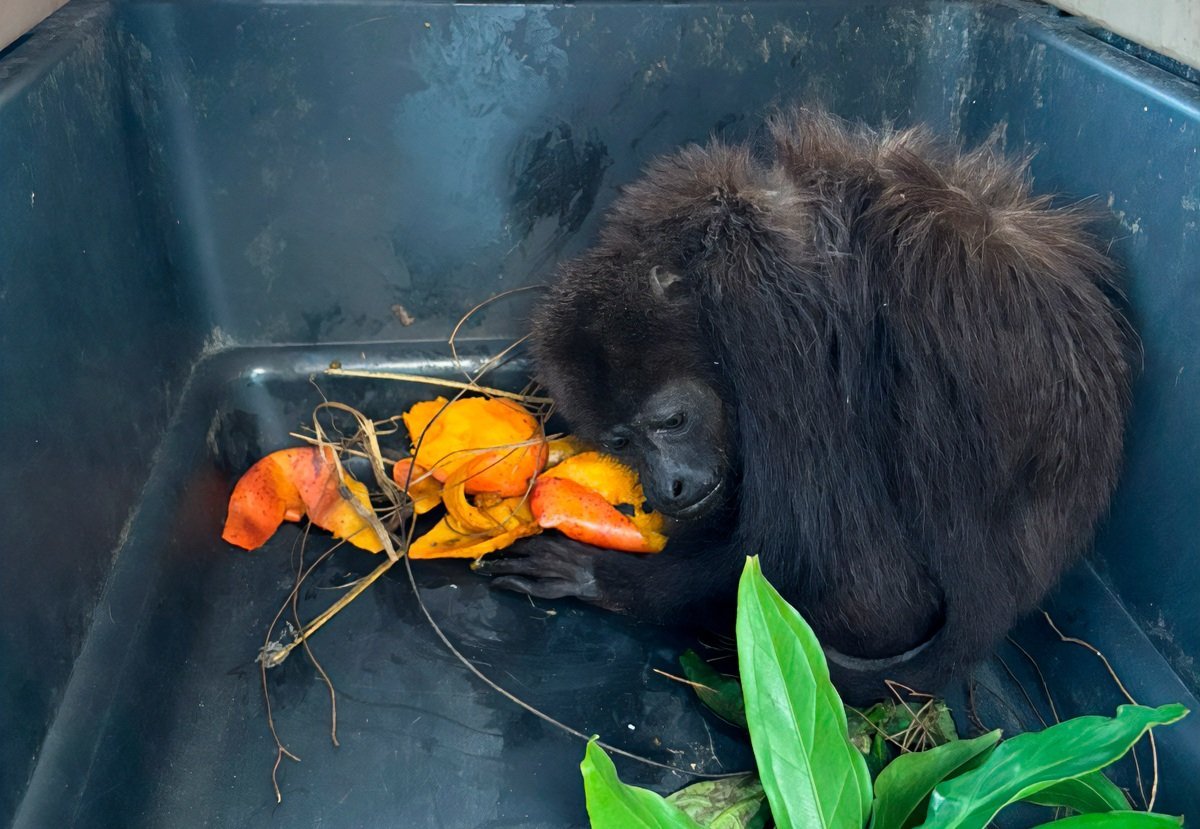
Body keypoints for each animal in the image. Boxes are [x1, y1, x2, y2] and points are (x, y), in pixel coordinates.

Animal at [474, 108, 1132, 704]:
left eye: (672, 421)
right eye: (620, 443)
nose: (670, 486)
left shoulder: (763, 316)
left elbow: (842, 576)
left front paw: (599, 578)